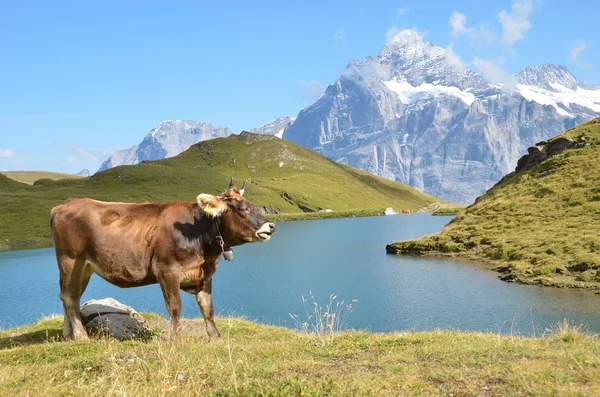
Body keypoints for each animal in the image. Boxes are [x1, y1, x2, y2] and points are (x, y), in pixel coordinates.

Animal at [50, 178, 276, 338]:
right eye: (242, 209)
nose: (271, 226)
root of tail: (66, 204)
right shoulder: (167, 269)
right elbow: (175, 307)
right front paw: (176, 339)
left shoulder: (205, 273)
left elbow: (207, 307)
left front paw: (216, 337)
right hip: (71, 260)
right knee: (70, 297)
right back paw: (80, 335)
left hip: (84, 267)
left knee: (67, 296)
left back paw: (68, 334)